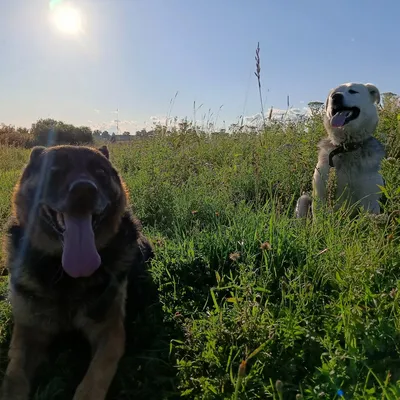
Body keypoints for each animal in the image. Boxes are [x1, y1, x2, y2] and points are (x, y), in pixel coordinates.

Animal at [0, 145, 153, 400]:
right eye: (55, 170)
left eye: (100, 172)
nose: (84, 190)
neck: (65, 275)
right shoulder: (28, 332)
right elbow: (14, 379)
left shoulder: (110, 333)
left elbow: (93, 381)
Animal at [296, 82, 384, 219]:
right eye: (333, 93)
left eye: (353, 91)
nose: (336, 97)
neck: (347, 147)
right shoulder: (320, 195)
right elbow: (319, 220)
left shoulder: (370, 200)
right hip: (303, 200)